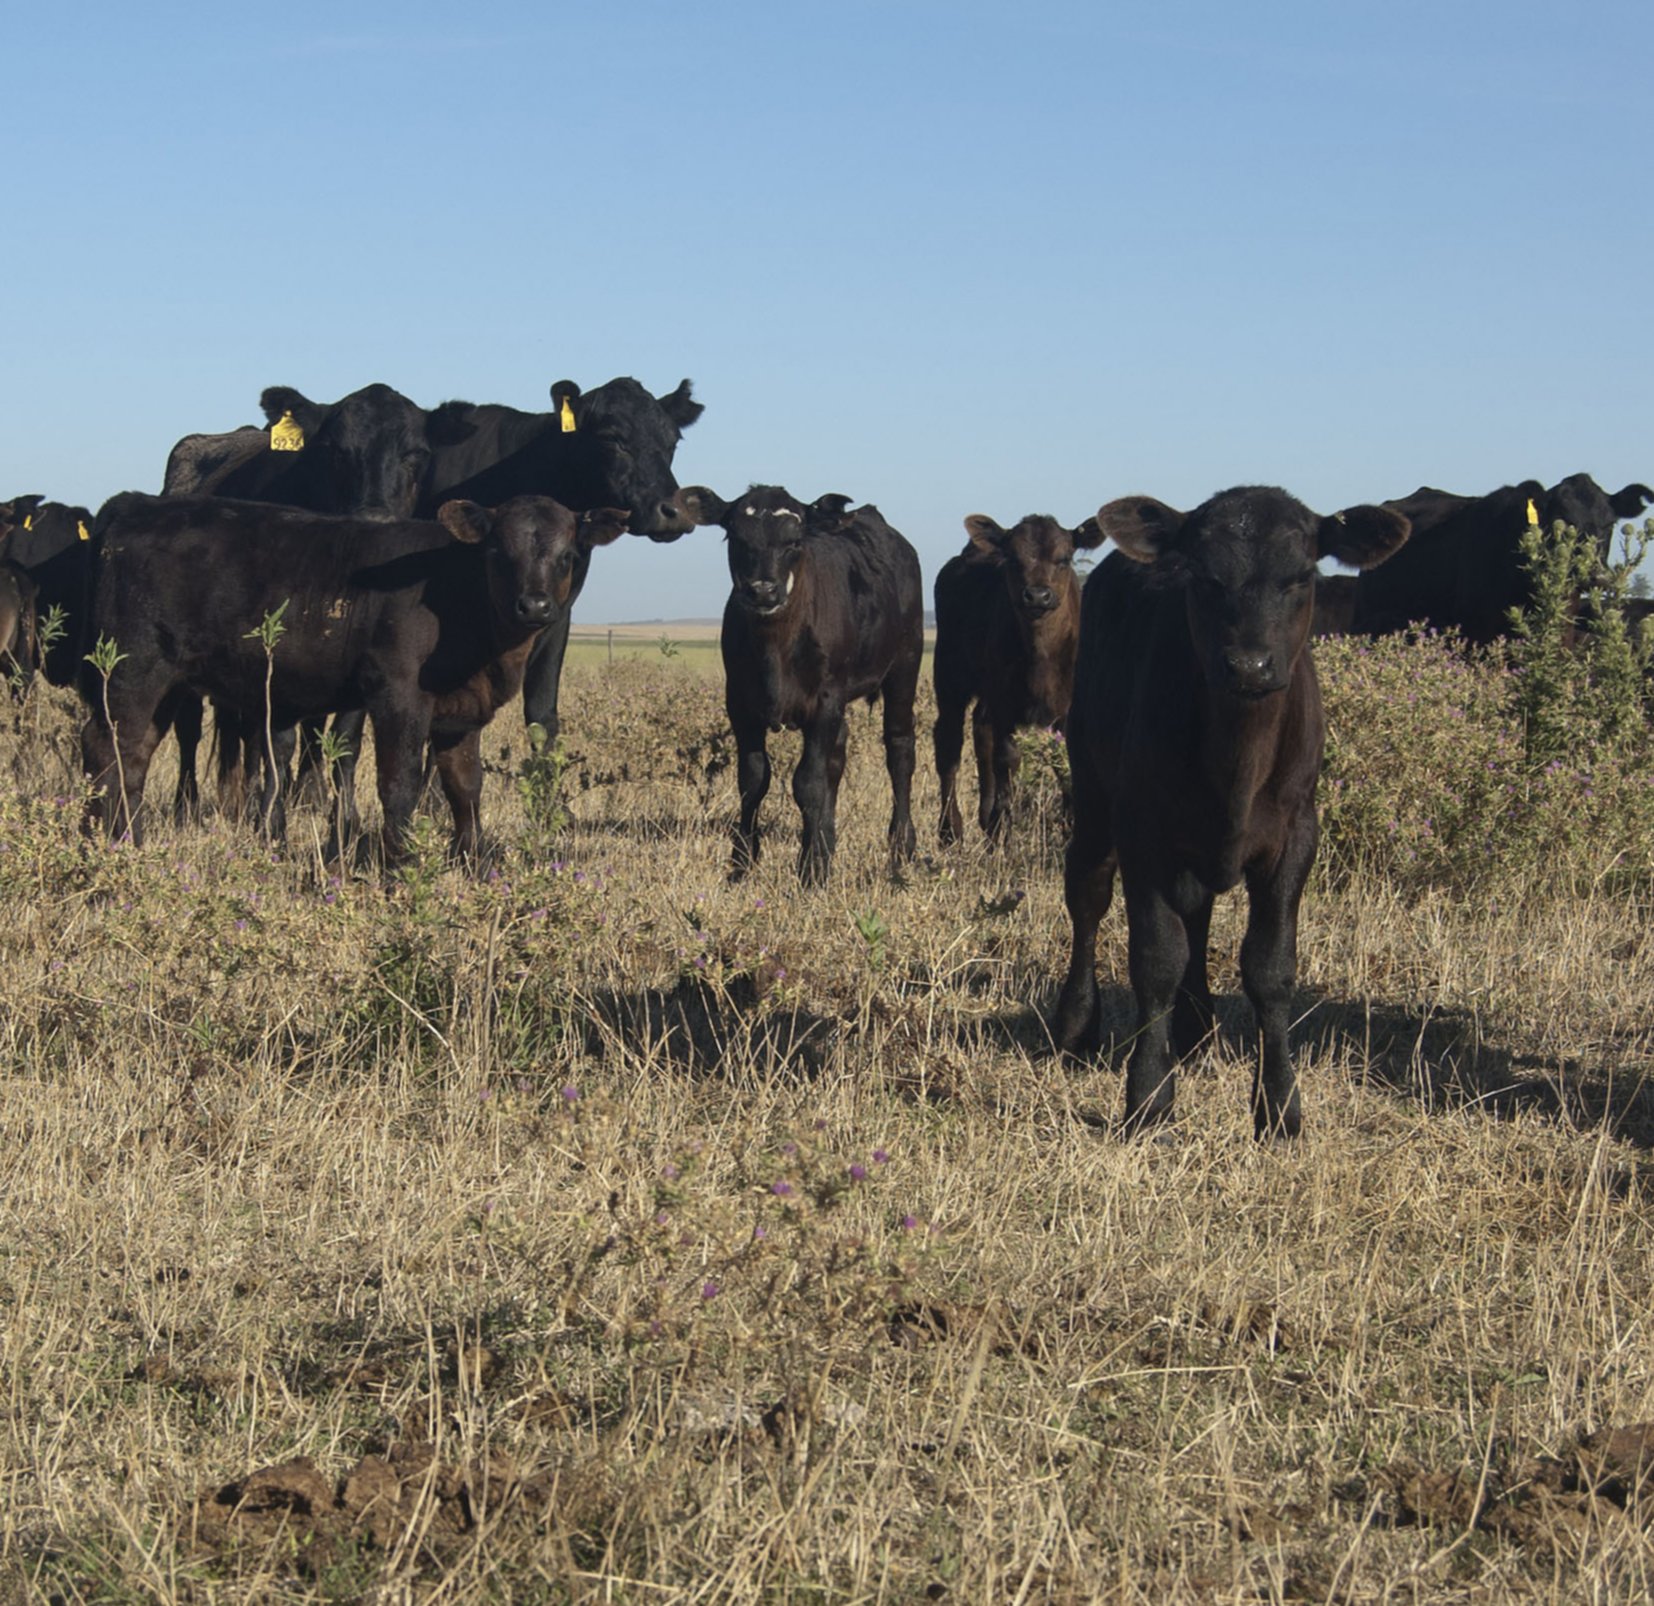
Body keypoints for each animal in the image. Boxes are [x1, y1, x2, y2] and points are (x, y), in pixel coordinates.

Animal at [76, 496, 625, 860]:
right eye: (497, 553)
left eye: (567, 556)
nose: (534, 605)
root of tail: (137, 505)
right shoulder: (399, 696)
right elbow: (399, 785)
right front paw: (401, 868)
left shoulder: (462, 713)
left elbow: (465, 789)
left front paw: (473, 863)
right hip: (131, 671)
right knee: (106, 749)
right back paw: (101, 844)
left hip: (167, 684)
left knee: (133, 758)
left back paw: (126, 841)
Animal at [678, 489, 926, 893]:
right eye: (736, 537)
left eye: (794, 541)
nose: (763, 589)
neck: (775, 648)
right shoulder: (740, 705)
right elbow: (753, 780)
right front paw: (742, 864)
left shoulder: (824, 703)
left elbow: (808, 782)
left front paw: (809, 870)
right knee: (837, 757)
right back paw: (827, 842)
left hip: (905, 665)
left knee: (900, 750)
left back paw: (901, 848)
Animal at [939, 516, 1104, 846]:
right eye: (1013, 559)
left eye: (1064, 558)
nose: (1038, 595)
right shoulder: (1005, 704)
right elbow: (1007, 758)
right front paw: (1004, 827)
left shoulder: (1069, 708)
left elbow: (1066, 763)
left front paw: (1070, 826)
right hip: (949, 678)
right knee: (949, 745)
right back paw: (951, 829)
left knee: (981, 729)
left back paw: (985, 819)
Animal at [1058, 482, 1409, 1137]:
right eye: (1204, 576)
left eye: (1301, 576)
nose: (1248, 664)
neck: (1237, 768)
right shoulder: (1143, 831)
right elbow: (1156, 958)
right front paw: (1148, 1096)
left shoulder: (1297, 835)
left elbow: (1270, 968)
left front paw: (1279, 1106)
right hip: (1092, 788)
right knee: (1088, 897)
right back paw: (1077, 1024)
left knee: (1195, 912)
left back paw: (1195, 1031)